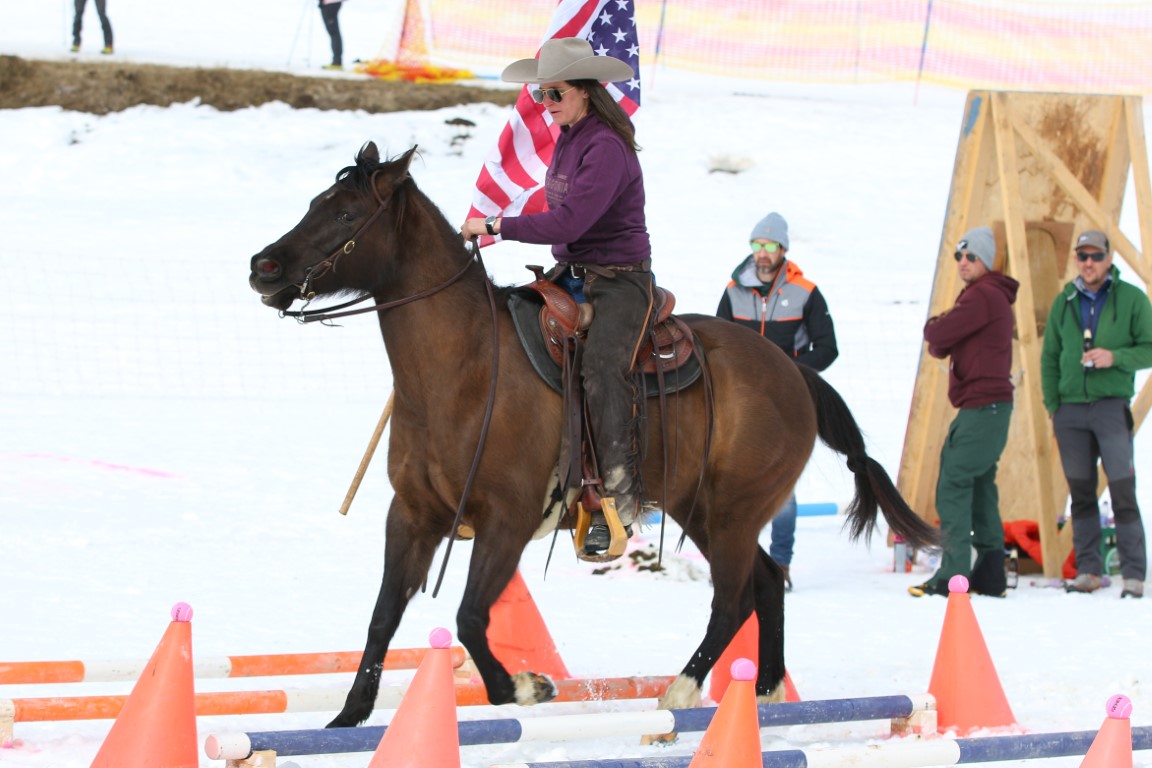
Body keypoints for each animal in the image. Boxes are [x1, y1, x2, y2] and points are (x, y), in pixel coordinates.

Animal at [248, 142, 938, 728]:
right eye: (315, 203)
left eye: (344, 212)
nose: (263, 266)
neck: (466, 368)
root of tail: (793, 370)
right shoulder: (413, 515)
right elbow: (382, 617)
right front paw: (346, 719)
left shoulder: (508, 519)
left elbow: (469, 617)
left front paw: (525, 685)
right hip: (703, 509)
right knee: (765, 583)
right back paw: (765, 693)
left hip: (734, 513)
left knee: (733, 599)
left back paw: (681, 693)